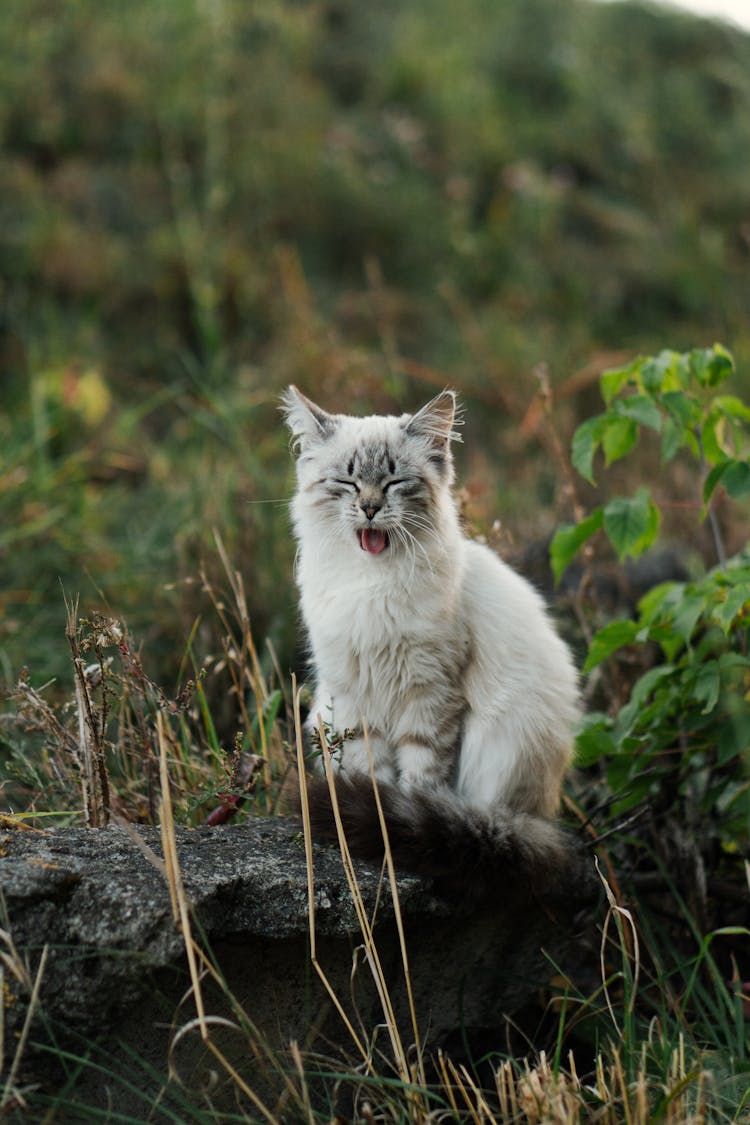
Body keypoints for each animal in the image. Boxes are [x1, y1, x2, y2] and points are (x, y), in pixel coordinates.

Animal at [281, 382, 580, 891]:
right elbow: (372, 773)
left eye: (395, 482)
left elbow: (419, 780)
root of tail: (539, 819)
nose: (370, 508)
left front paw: (398, 826)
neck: (372, 584)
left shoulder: (432, 693)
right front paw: (379, 820)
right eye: (347, 482)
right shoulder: (354, 695)